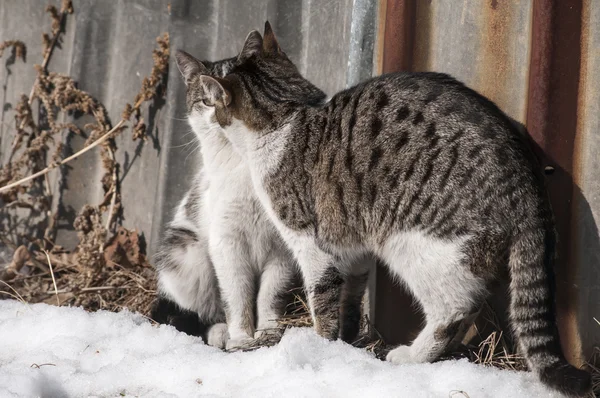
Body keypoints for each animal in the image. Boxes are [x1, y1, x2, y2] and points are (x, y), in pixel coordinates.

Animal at [173, 23, 592, 396]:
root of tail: (527, 181)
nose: (211, 116)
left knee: (455, 306)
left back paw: (412, 355)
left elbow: (321, 299)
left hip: (413, 241)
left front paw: (320, 346)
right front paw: (345, 342)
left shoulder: (311, 243)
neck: (286, 113)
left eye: (213, 101)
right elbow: (349, 297)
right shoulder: (352, 245)